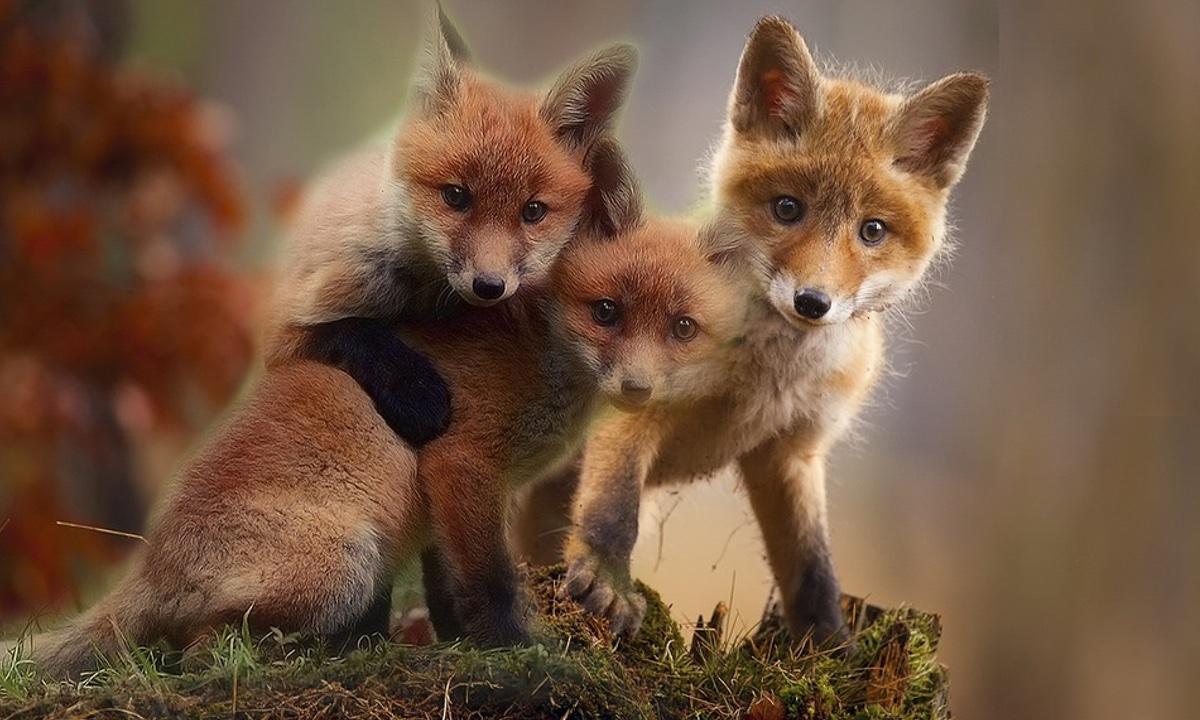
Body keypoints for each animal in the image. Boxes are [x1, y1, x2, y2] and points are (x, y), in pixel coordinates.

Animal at [4, 140, 749, 677]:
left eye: (681, 328)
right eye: (606, 312)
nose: (639, 389)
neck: (538, 354)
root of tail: (151, 562)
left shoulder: (463, 495)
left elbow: (450, 589)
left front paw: (464, 646)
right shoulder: (461, 463)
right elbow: (489, 583)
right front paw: (518, 652)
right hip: (347, 566)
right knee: (196, 651)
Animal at [266, 6, 638, 449]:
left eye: (533, 211)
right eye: (456, 196)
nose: (490, 286)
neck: (420, 297)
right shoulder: (283, 328)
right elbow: (351, 330)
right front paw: (414, 390)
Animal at [558, 15, 989, 646]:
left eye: (873, 230)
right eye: (788, 208)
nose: (813, 302)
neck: (765, 377)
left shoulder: (792, 451)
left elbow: (812, 565)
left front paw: (830, 643)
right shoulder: (635, 399)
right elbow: (613, 511)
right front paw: (608, 581)